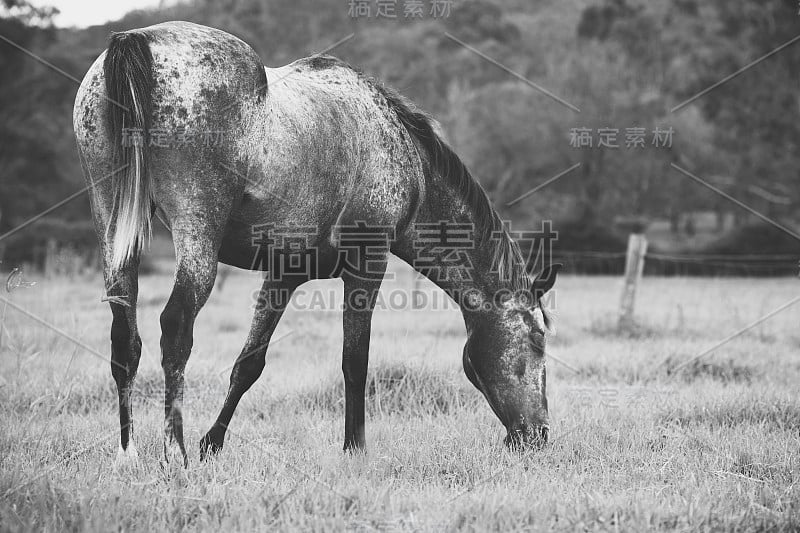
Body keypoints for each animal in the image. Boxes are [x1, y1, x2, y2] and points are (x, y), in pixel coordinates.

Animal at [76, 20, 564, 464]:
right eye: (538, 339)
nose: (538, 435)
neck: (408, 162)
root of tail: (138, 40)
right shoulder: (367, 265)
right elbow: (355, 360)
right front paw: (355, 448)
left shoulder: (284, 273)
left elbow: (249, 364)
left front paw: (211, 444)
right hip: (196, 232)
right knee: (176, 327)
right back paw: (172, 451)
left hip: (112, 226)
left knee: (125, 337)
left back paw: (128, 452)